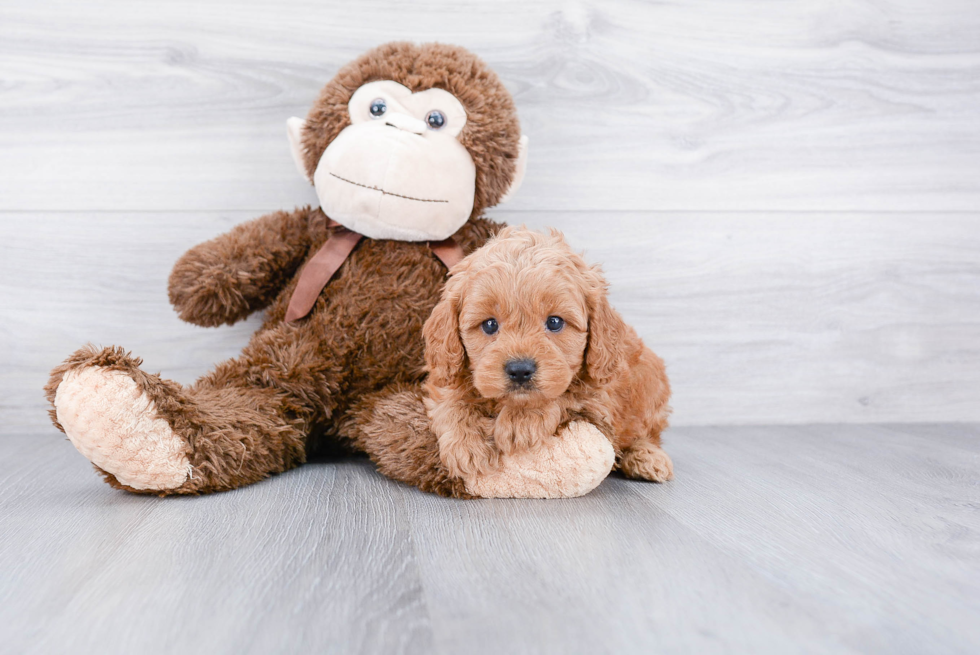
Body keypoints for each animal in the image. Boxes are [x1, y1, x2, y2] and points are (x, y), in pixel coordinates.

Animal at [422, 226, 672, 482]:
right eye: (490, 324)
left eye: (554, 322)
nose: (520, 370)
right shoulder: (443, 378)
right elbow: (451, 401)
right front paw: (467, 444)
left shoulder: (598, 397)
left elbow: (565, 395)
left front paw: (521, 420)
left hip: (652, 387)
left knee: (648, 433)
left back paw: (647, 457)